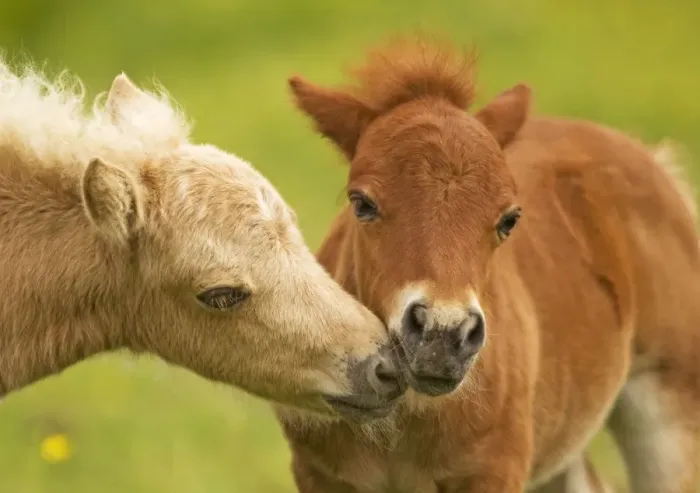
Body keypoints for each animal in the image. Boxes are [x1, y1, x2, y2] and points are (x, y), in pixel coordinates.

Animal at [275, 35, 700, 492]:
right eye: (362, 204)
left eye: (509, 220)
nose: (443, 335)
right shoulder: (320, 473)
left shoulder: (494, 470)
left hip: (672, 419)